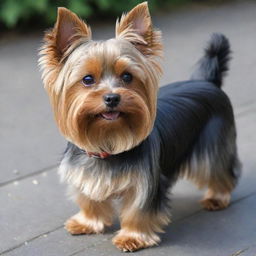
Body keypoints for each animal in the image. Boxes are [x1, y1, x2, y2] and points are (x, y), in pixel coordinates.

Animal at [38, 1, 240, 251]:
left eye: (127, 77)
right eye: (87, 79)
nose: (112, 97)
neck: (108, 143)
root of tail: (207, 81)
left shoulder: (145, 183)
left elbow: (138, 210)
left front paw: (132, 237)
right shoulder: (86, 175)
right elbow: (89, 200)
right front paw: (87, 222)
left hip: (214, 142)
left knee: (218, 168)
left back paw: (217, 198)